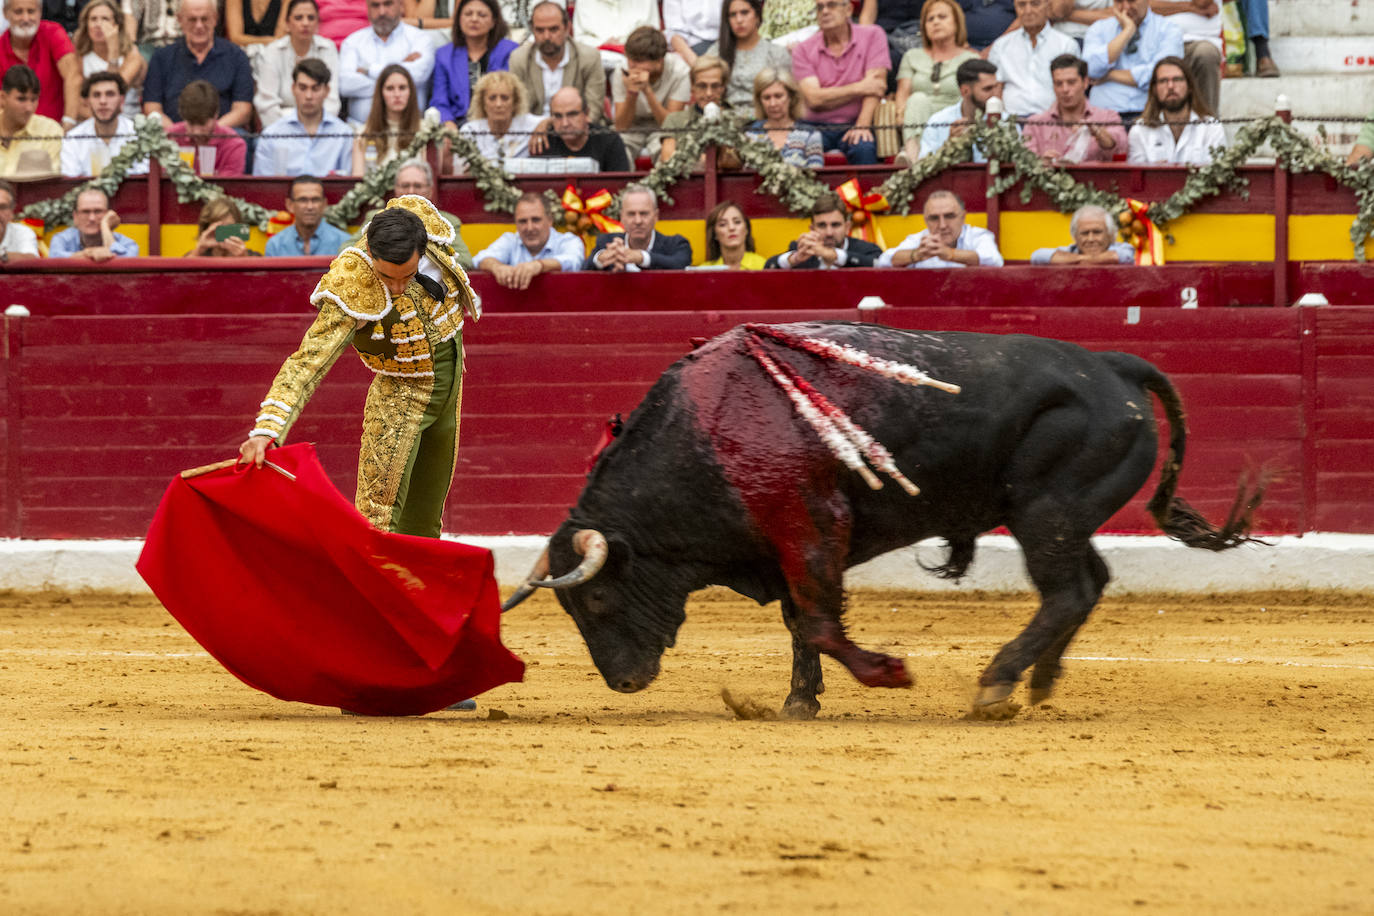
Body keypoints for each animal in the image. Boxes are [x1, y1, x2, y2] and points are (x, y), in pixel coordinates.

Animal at [505, 324, 1264, 725]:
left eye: (598, 598)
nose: (623, 683)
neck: (708, 433)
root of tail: (1112, 366)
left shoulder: (813, 528)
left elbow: (817, 621)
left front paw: (887, 673)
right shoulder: (784, 546)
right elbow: (800, 622)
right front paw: (799, 701)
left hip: (1046, 514)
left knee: (1067, 591)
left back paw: (996, 683)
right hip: (1065, 519)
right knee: (1091, 582)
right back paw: (1040, 680)